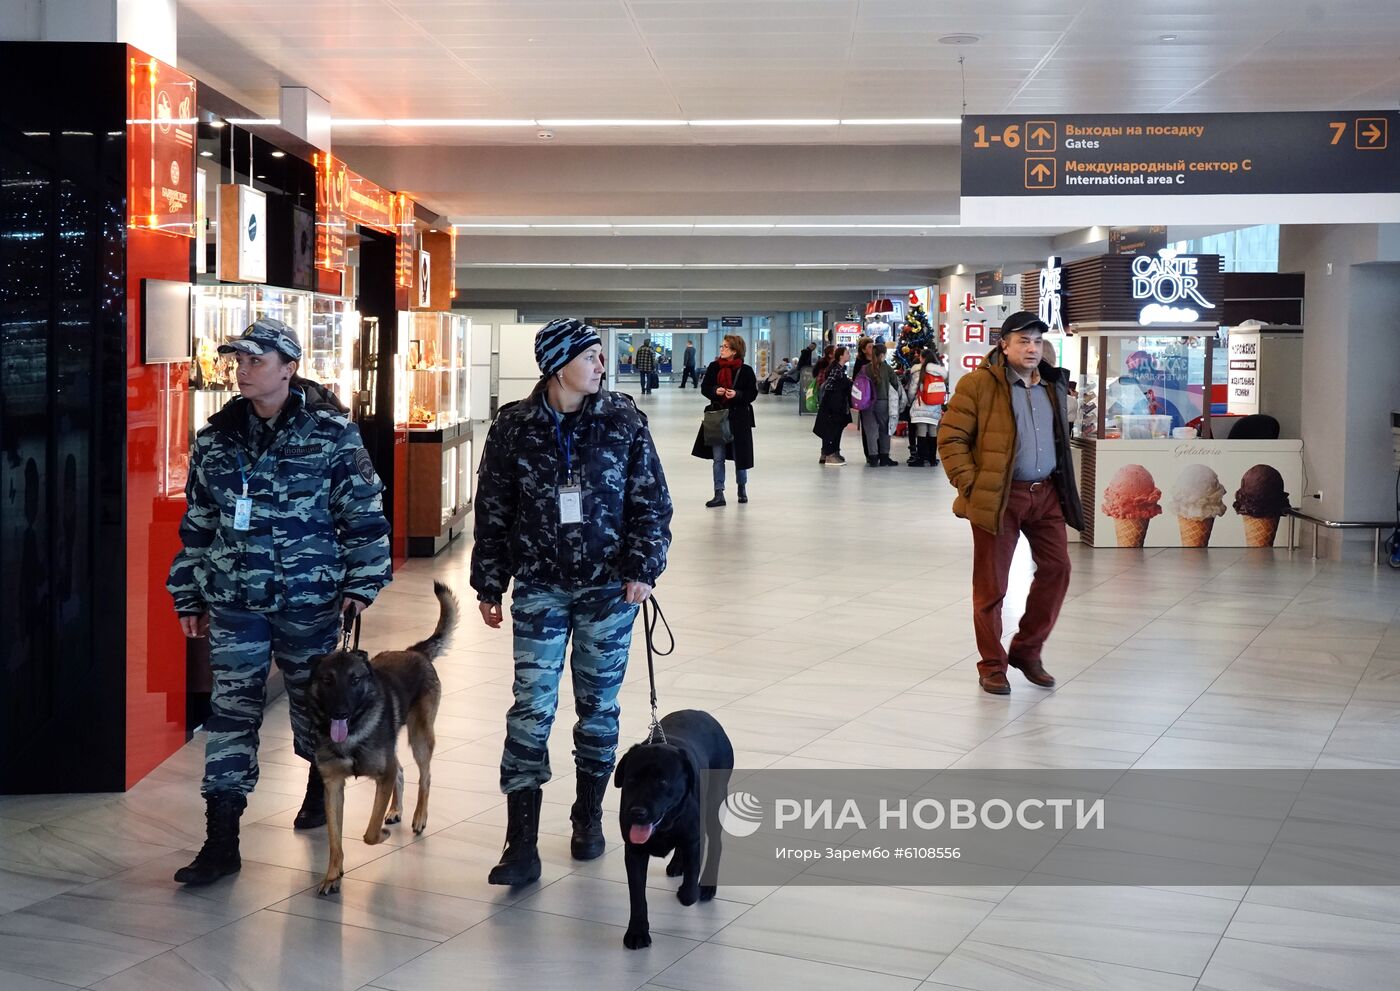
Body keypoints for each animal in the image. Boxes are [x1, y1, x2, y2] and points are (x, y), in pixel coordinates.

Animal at [308, 576, 456, 895]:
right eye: (327, 680)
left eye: (355, 680)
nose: (340, 712)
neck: (352, 735)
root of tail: (415, 651)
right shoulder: (333, 787)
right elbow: (334, 839)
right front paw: (332, 875)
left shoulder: (382, 776)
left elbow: (370, 832)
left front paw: (384, 834)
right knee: (400, 770)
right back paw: (396, 810)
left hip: (420, 737)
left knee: (424, 776)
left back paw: (419, 817)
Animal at [618, 708, 739, 946]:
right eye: (631, 780)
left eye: (663, 782)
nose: (637, 812)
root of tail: (702, 713)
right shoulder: (634, 851)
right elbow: (637, 895)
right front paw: (637, 932)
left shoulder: (693, 840)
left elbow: (691, 886)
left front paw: (686, 893)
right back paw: (676, 864)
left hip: (715, 800)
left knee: (716, 845)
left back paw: (707, 886)